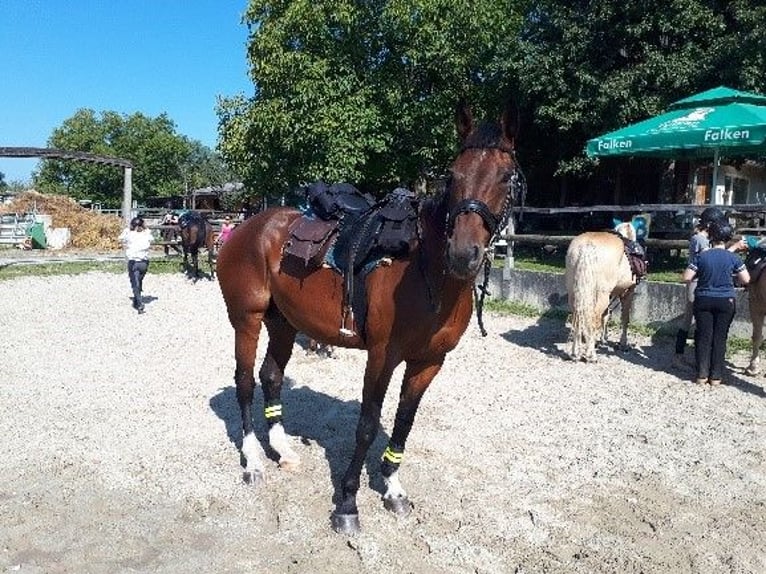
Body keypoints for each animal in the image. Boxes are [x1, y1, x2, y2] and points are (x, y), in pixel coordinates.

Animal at [564, 222, 648, 362]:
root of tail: (587, 247)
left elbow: (606, 316)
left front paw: (603, 338)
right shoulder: (628, 292)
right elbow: (625, 318)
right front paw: (623, 343)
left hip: (574, 292)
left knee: (577, 318)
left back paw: (575, 353)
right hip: (601, 295)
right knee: (593, 319)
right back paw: (591, 355)